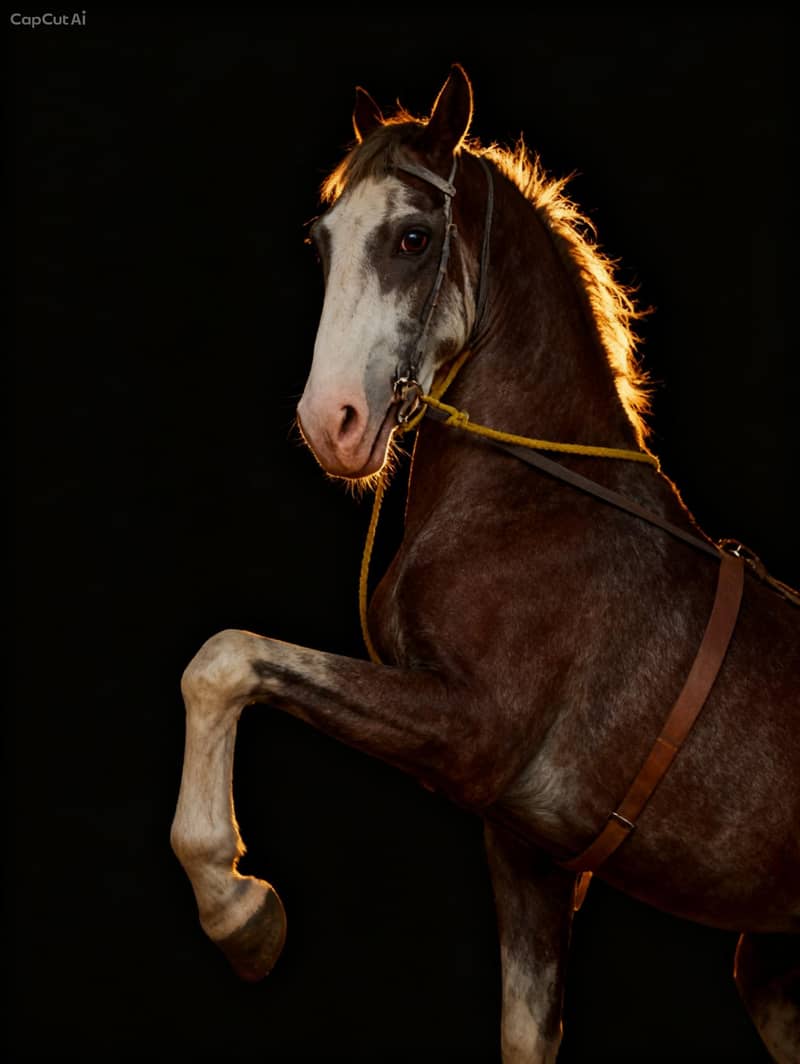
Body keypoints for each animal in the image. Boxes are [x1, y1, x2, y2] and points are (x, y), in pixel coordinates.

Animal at [170, 64, 799, 1062]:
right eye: (321, 242)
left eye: (413, 237)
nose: (331, 423)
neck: (534, 503)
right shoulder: (526, 851)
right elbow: (525, 1032)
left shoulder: (474, 731)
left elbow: (227, 658)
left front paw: (240, 911)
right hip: (770, 964)